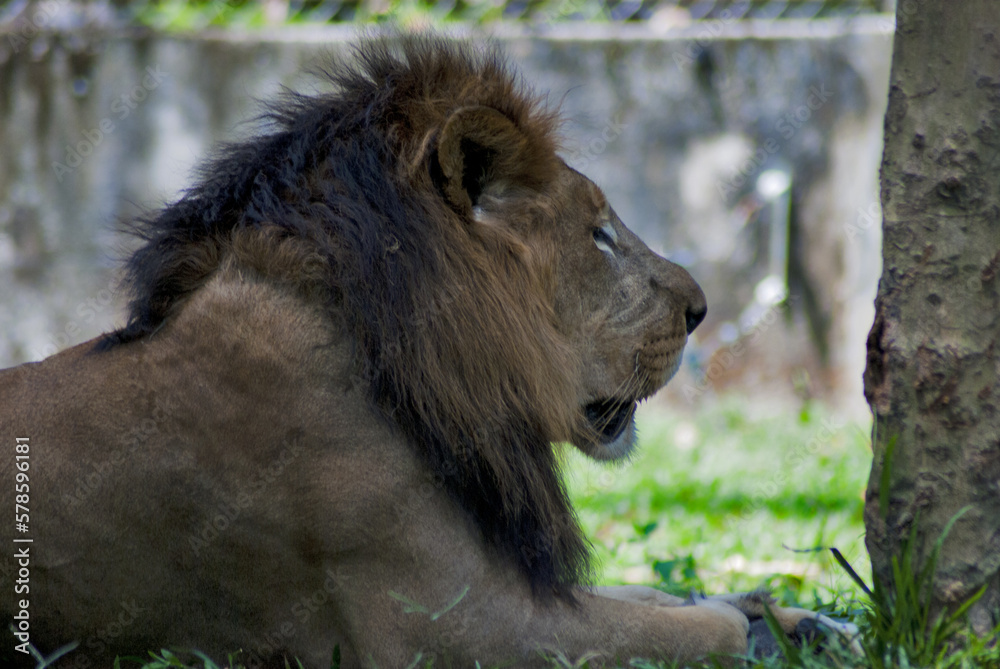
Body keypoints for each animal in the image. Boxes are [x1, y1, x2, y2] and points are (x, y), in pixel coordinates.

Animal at [0, 35, 855, 668]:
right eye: (600, 234)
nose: (702, 309)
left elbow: (658, 596)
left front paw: (803, 618)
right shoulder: (456, 626)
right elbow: (686, 628)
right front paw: (751, 624)